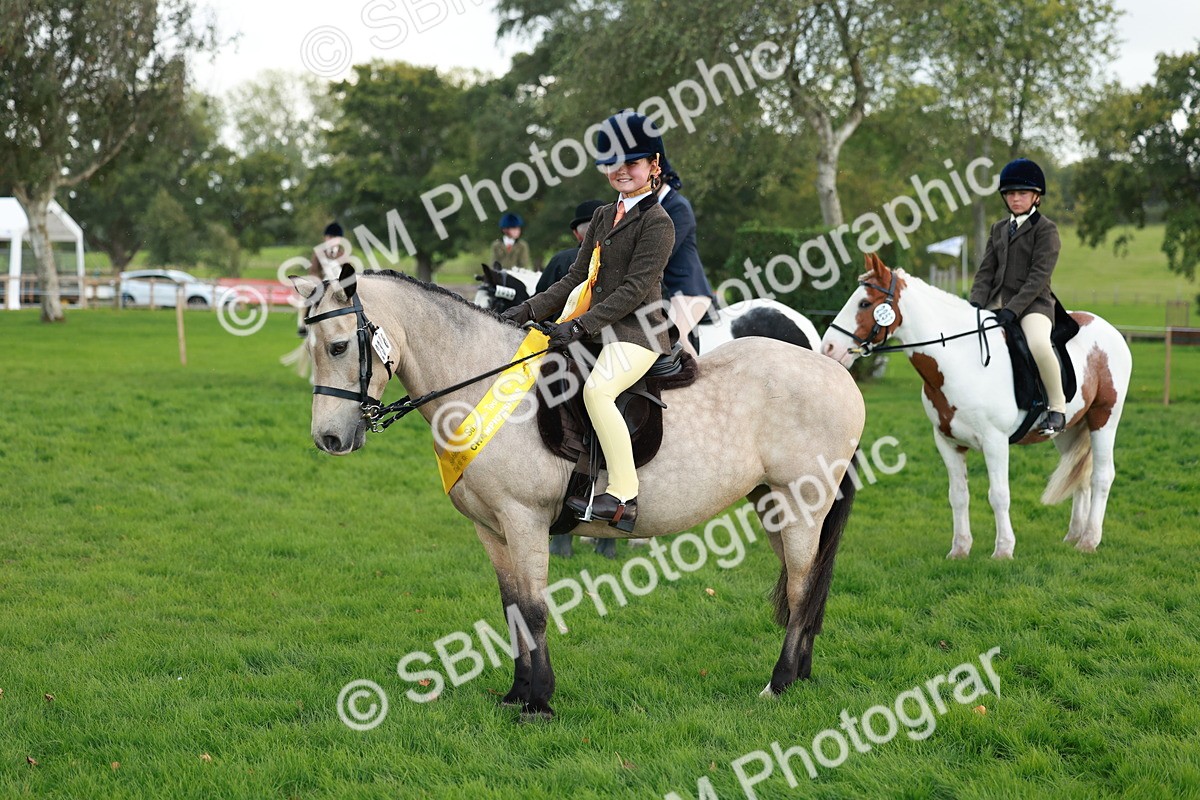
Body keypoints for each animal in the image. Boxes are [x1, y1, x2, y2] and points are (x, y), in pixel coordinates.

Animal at [292, 267, 865, 717]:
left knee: (800, 588)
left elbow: (535, 610)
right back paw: (802, 675)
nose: (329, 439)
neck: (482, 384)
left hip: (802, 504)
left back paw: (780, 683)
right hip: (772, 504)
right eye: (311, 346)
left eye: (339, 346)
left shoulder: (524, 519)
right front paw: (515, 693)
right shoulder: (491, 529)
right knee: (804, 584)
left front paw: (539, 702)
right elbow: (512, 608)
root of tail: (834, 371)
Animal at [820, 254, 1131, 559]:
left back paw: (1089, 540)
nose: (828, 349)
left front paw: (1003, 550)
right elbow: (958, 495)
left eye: (864, 303)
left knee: (1102, 476)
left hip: (1104, 419)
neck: (960, 359)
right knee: (1080, 475)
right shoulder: (948, 442)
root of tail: (1109, 329)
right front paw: (959, 549)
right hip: (1069, 429)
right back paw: (1074, 535)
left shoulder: (995, 441)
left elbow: (999, 495)